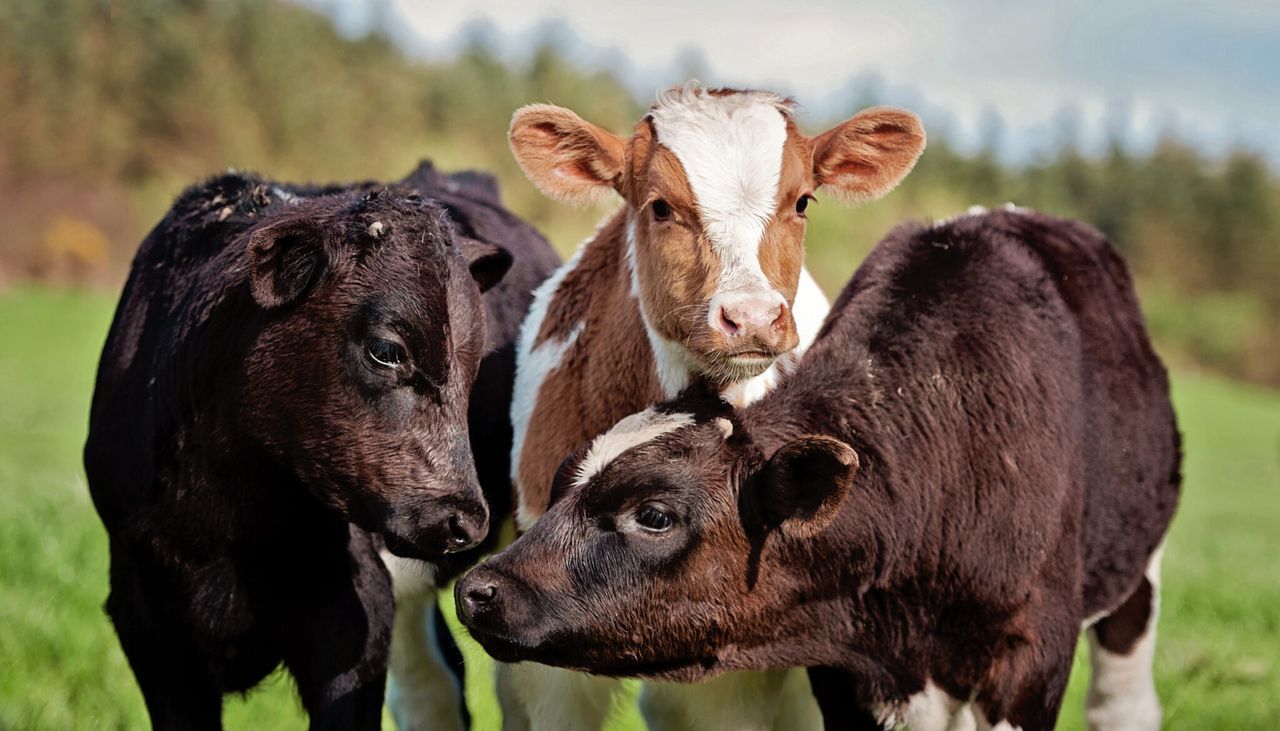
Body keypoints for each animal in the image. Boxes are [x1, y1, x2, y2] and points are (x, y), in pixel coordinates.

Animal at [457, 208, 1182, 731]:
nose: (478, 589)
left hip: (1137, 572)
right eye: (559, 484)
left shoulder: (1029, 660)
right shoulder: (845, 671)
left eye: (655, 514)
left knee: (1123, 702)